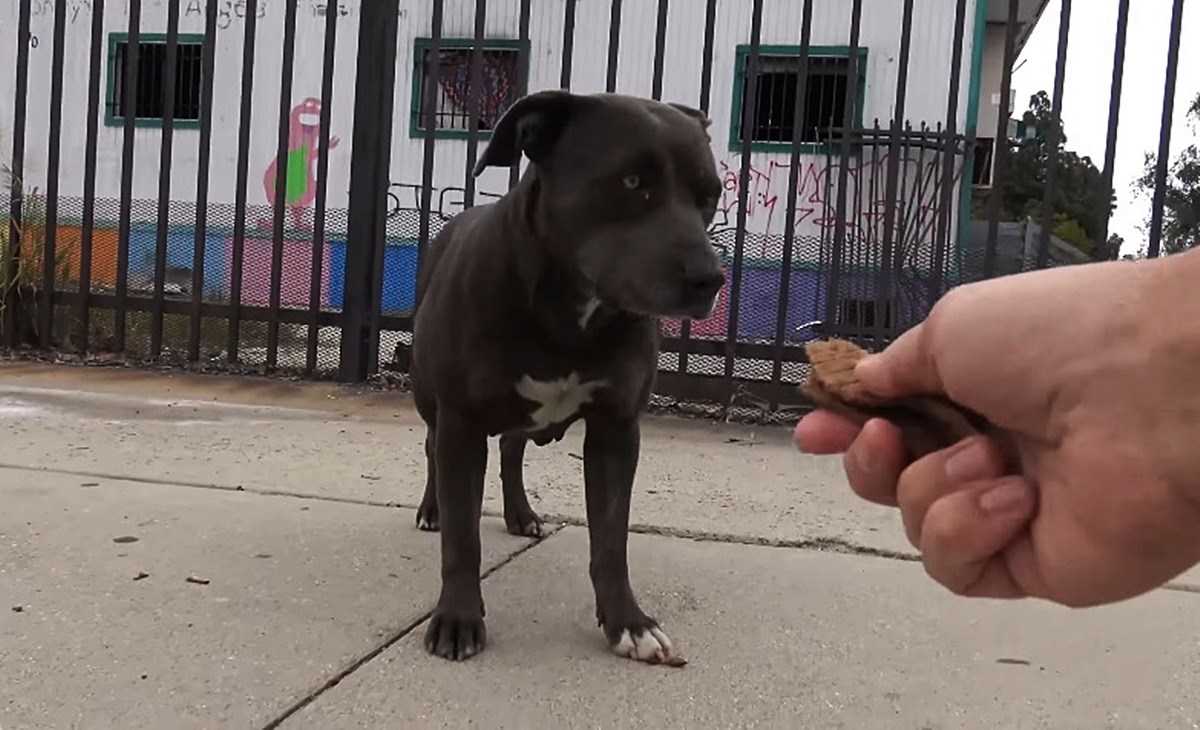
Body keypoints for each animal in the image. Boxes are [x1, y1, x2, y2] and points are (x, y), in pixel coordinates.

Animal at [408, 88, 724, 662]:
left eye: (708, 196)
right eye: (632, 182)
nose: (709, 279)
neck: (569, 309)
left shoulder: (616, 431)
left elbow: (611, 540)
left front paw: (628, 622)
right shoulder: (461, 423)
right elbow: (463, 538)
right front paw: (458, 618)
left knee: (512, 449)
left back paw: (521, 514)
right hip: (429, 398)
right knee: (431, 448)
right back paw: (432, 508)